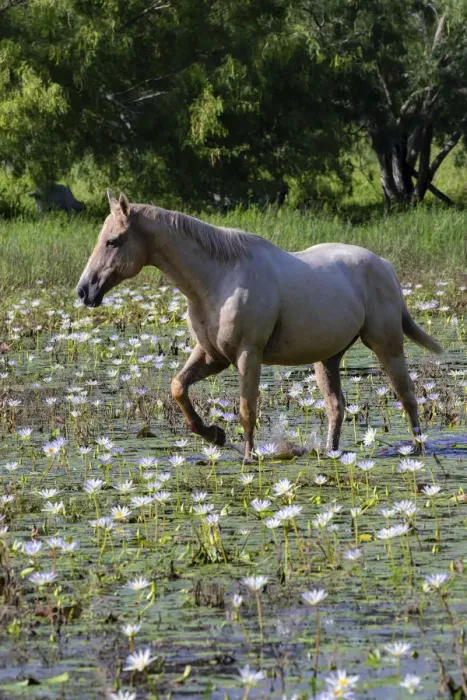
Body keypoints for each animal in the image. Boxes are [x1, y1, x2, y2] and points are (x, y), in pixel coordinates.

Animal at [77, 191, 443, 461]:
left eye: (113, 241)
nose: (84, 291)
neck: (219, 279)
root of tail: (383, 264)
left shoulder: (247, 355)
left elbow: (246, 410)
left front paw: (248, 457)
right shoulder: (212, 356)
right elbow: (178, 387)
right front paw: (213, 434)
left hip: (386, 345)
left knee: (407, 397)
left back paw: (417, 449)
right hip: (328, 357)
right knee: (336, 407)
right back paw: (331, 452)